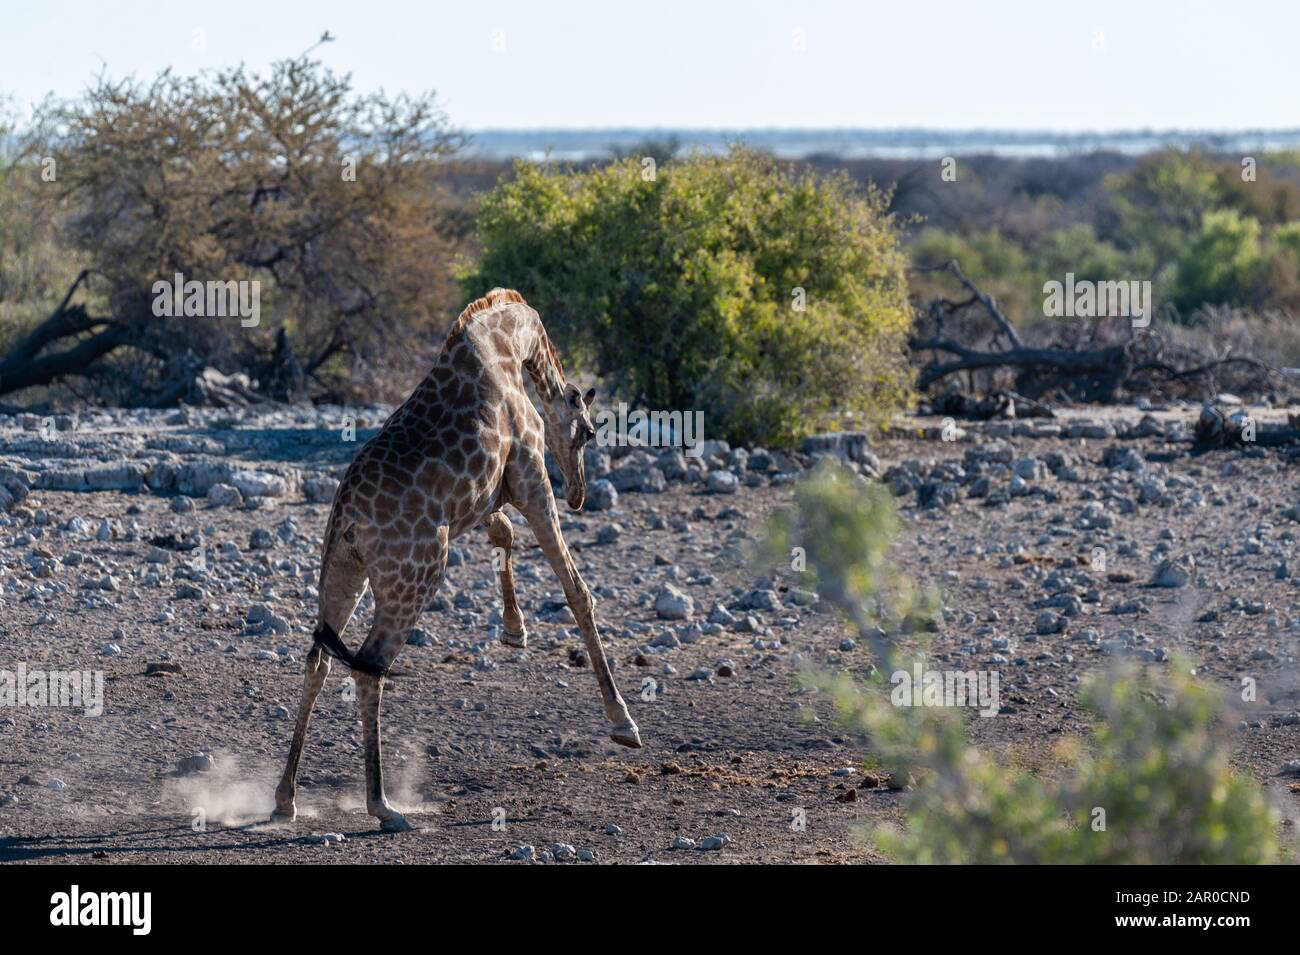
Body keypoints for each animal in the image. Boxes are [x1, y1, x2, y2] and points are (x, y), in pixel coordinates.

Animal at [271, 287, 642, 831]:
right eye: (589, 434)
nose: (578, 494)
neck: (509, 343)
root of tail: (348, 519)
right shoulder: (531, 476)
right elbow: (577, 590)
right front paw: (623, 722)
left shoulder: (486, 496)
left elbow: (504, 534)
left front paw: (515, 631)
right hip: (416, 575)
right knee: (369, 666)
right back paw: (384, 806)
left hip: (342, 574)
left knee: (318, 660)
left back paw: (286, 797)